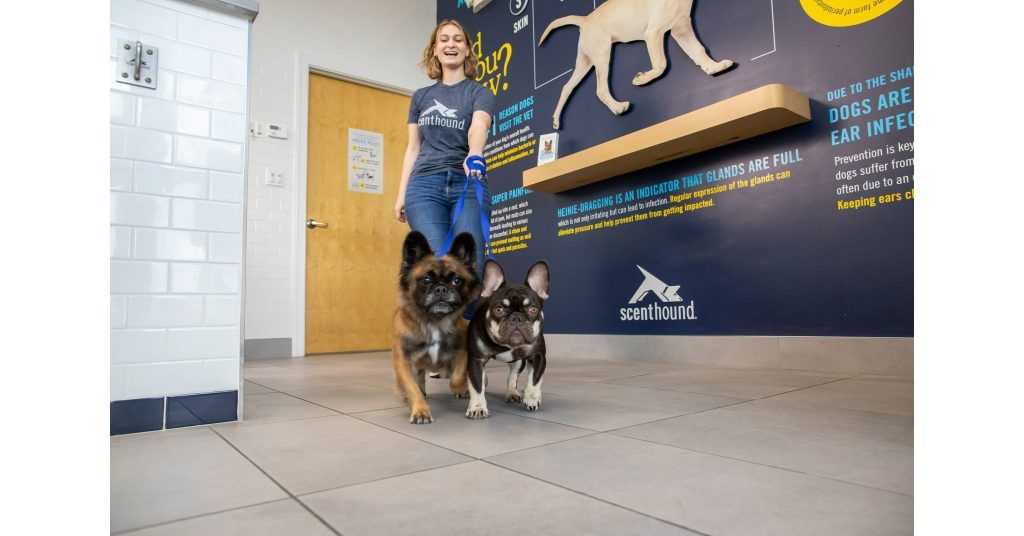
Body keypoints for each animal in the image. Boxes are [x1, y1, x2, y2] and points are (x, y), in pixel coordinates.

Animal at [391, 230, 479, 424]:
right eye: (425, 279)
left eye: (456, 280)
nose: (441, 289)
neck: (434, 321)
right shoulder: (403, 360)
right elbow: (412, 387)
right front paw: (420, 410)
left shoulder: (462, 352)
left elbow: (457, 377)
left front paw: (460, 388)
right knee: (419, 378)